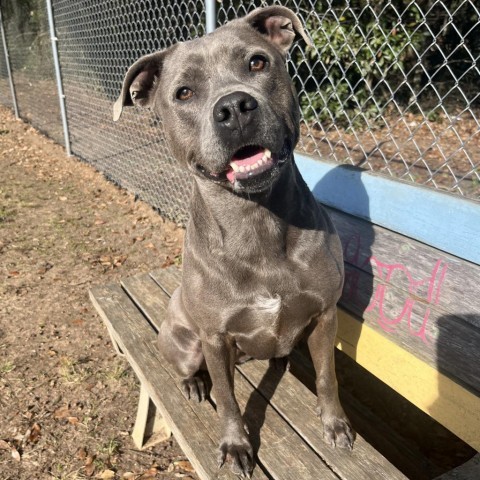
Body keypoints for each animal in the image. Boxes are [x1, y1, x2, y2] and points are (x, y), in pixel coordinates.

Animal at [112, 5, 352, 478]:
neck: (257, 222)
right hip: (186, 344)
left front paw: (334, 423)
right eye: (184, 92)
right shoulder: (216, 337)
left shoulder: (324, 315)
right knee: (192, 369)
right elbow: (227, 398)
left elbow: (327, 376)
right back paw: (192, 383)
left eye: (257, 62)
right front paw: (236, 444)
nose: (234, 107)